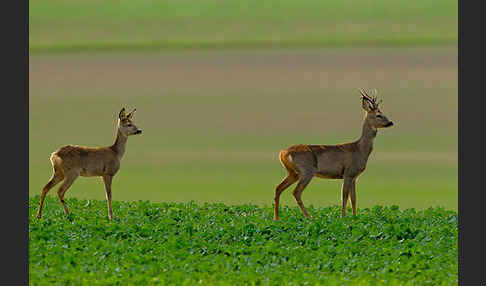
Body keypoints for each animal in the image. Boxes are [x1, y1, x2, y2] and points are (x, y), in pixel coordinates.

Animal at [276, 90, 392, 220]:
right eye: (378, 115)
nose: (390, 122)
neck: (360, 149)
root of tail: (283, 152)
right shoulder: (348, 173)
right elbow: (344, 196)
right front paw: (343, 217)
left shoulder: (354, 176)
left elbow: (354, 198)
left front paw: (355, 217)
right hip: (307, 170)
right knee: (296, 192)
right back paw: (309, 218)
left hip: (293, 172)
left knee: (278, 188)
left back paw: (276, 218)